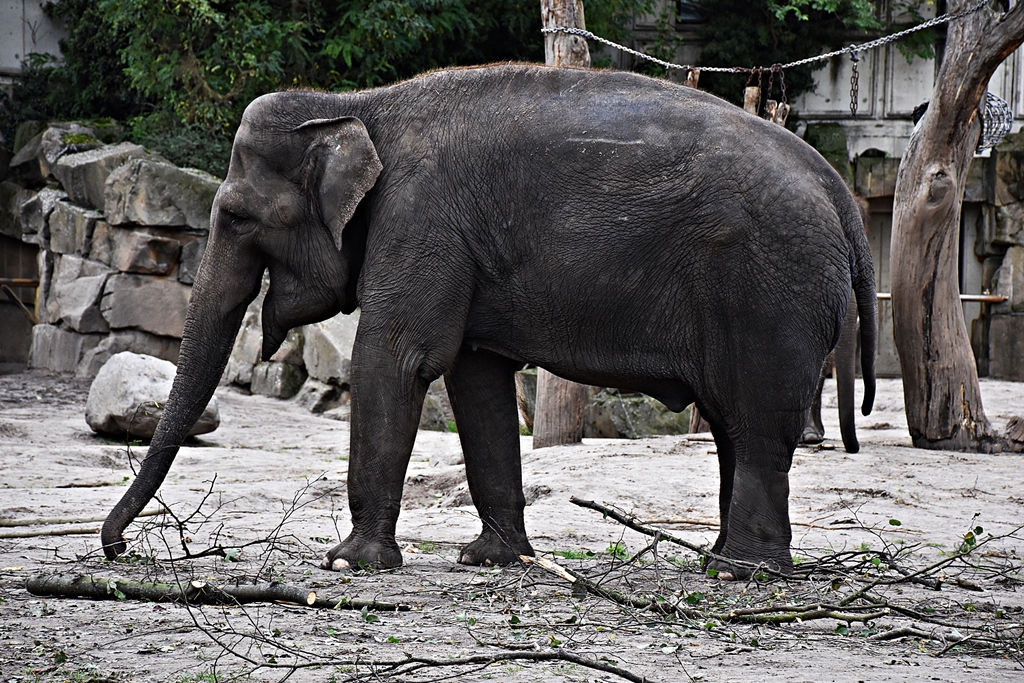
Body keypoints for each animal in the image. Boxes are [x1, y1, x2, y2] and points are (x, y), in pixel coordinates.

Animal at [100, 64, 877, 577]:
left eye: (235, 216)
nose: (117, 548)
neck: (357, 105)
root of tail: (841, 193)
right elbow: (476, 379)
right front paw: (491, 560)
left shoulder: (421, 215)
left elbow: (397, 357)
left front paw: (350, 563)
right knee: (731, 426)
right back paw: (729, 559)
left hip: (769, 291)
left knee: (756, 425)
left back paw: (738, 571)